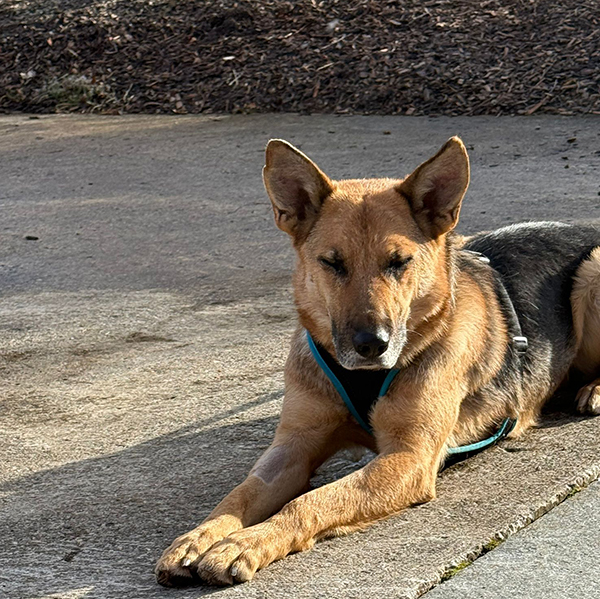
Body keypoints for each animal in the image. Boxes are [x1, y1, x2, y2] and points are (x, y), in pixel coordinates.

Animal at [155, 136, 600, 586]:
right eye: (332, 262)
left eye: (399, 262)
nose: (372, 345)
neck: (364, 376)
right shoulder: (293, 447)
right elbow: (240, 493)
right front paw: (199, 537)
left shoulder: (408, 458)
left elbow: (310, 501)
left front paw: (246, 543)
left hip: (592, 271)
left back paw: (593, 389)